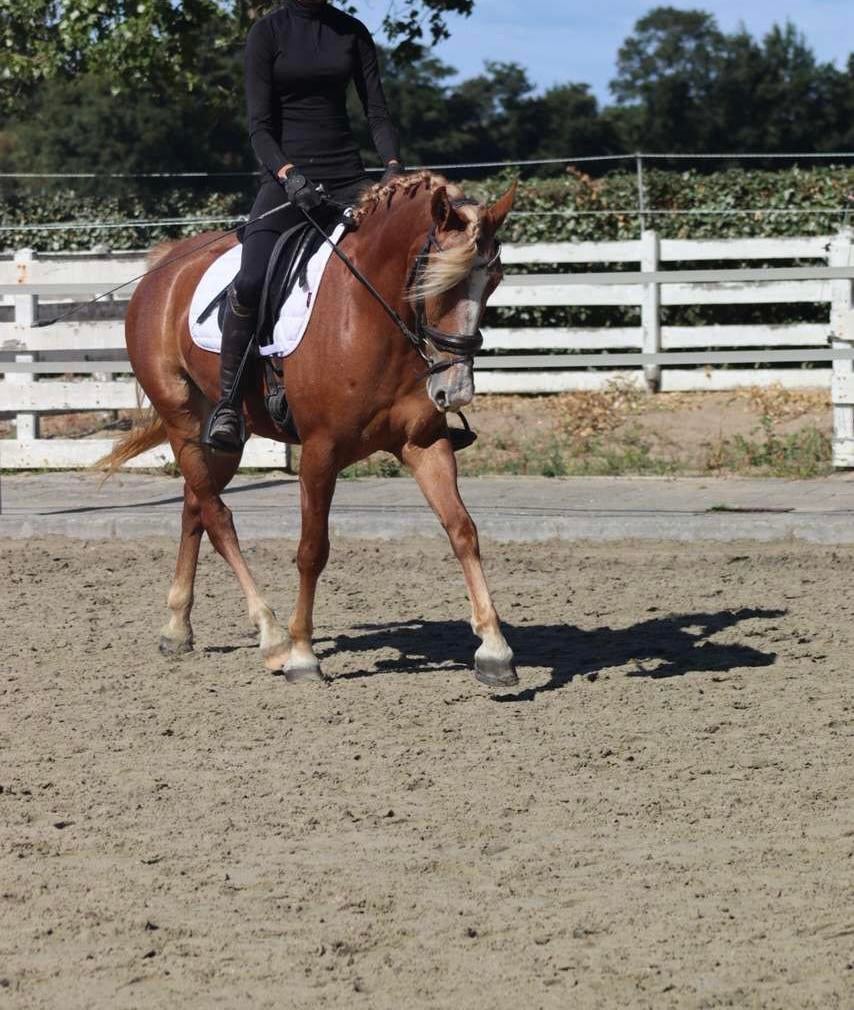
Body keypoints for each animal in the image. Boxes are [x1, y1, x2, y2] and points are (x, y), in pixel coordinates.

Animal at [98, 171, 519, 688]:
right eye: (434, 282)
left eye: (493, 282)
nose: (454, 390)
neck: (370, 314)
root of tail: (165, 267)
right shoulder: (321, 451)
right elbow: (312, 549)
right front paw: (302, 653)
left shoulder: (423, 443)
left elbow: (462, 530)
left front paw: (494, 649)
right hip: (183, 422)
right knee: (218, 516)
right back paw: (272, 635)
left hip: (222, 442)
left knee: (194, 507)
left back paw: (177, 627)